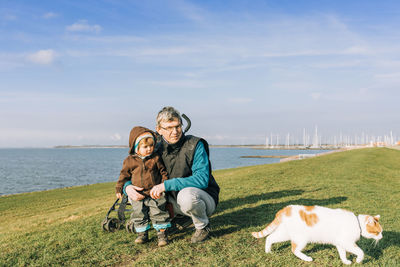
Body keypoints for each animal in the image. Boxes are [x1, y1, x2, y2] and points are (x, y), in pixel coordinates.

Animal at [252, 205, 382, 266]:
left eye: (381, 232)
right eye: (378, 232)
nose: (381, 237)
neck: (357, 223)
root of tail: (285, 209)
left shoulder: (341, 243)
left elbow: (342, 254)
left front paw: (345, 262)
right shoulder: (347, 242)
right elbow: (360, 252)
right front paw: (359, 260)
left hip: (285, 234)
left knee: (269, 238)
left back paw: (268, 252)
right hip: (301, 239)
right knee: (294, 249)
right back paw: (307, 258)